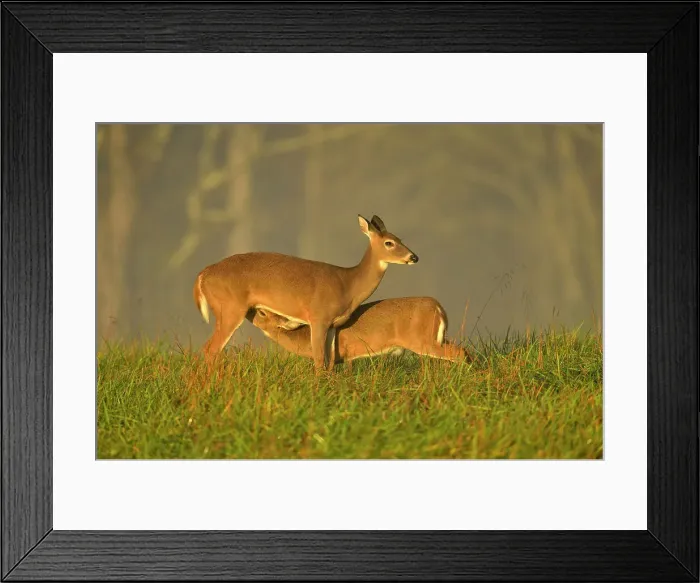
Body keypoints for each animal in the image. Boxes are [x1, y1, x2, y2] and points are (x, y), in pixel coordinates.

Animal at [193, 215, 418, 372]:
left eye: (400, 239)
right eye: (389, 243)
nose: (414, 257)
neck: (347, 284)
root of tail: (203, 275)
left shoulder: (332, 324)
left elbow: (329, 361)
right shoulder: (318, 317)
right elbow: (319, 360)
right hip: (229, 307)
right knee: (211, 349)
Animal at [247, 296, 472, 368]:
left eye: (261, 312)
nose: (247, 314)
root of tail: (439, 308)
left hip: (422, 340)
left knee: (460, 353)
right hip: (437, 338)